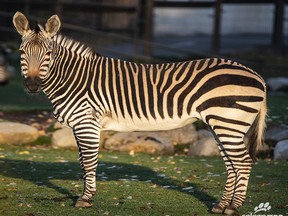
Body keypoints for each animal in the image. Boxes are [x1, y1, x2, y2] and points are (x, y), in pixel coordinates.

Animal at [12, 12, 266, 216]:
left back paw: (233, 207)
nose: (32, 85)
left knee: (243, 163)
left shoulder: (87, 123)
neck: (73, 78)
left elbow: (90, 162)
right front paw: (87, 195)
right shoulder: (78, 125)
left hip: (228, 123)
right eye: (22, 52)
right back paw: (221, 205)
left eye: (48, 53)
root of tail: (257, 75)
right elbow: (83, 162)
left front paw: (85, 199)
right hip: (222, 125)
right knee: (231, 164)